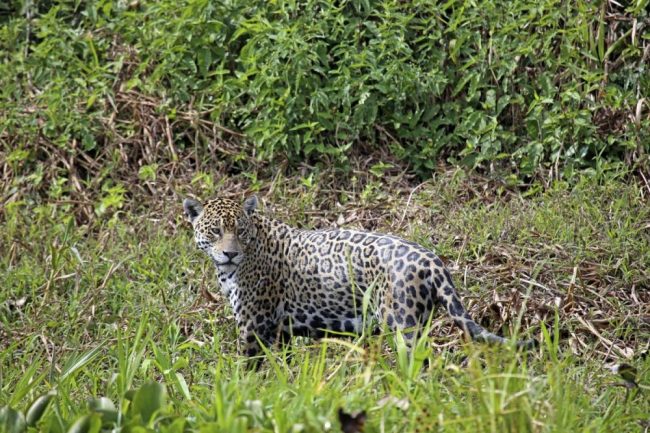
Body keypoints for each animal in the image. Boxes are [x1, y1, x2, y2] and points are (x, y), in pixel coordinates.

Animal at [183, 195, 535, 358]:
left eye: (240, 232)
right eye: (215, 231)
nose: (230, 253)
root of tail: (432, 259)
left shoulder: (254, 326)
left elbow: (245, 372)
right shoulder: (278, 332)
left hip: (401, 323)